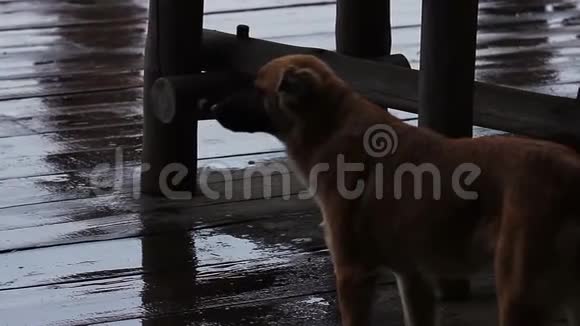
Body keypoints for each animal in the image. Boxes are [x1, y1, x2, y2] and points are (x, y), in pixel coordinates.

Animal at [211, 54, 580, 324]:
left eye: (257, 88)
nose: (211, 107)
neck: (331, 126)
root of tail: (571, 171)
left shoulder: (353, 275)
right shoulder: (413, 277)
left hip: (519, 294)